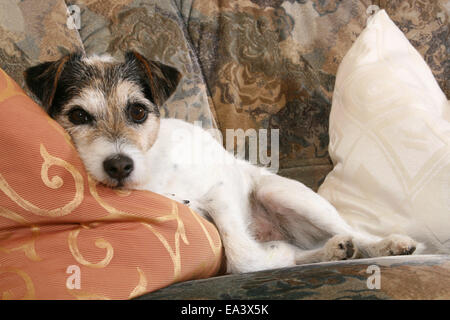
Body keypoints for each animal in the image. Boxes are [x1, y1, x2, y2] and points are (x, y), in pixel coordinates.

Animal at [25, 51, 418, 274]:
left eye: (137, 112)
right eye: (78, 115)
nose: (119, 165)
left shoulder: (219, 190)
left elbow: (243, 256)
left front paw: (271, 257)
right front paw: (285, 257)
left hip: (286, 195)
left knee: (353, 230)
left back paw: (387, 245)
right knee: (321, 243)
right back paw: (329, 251)